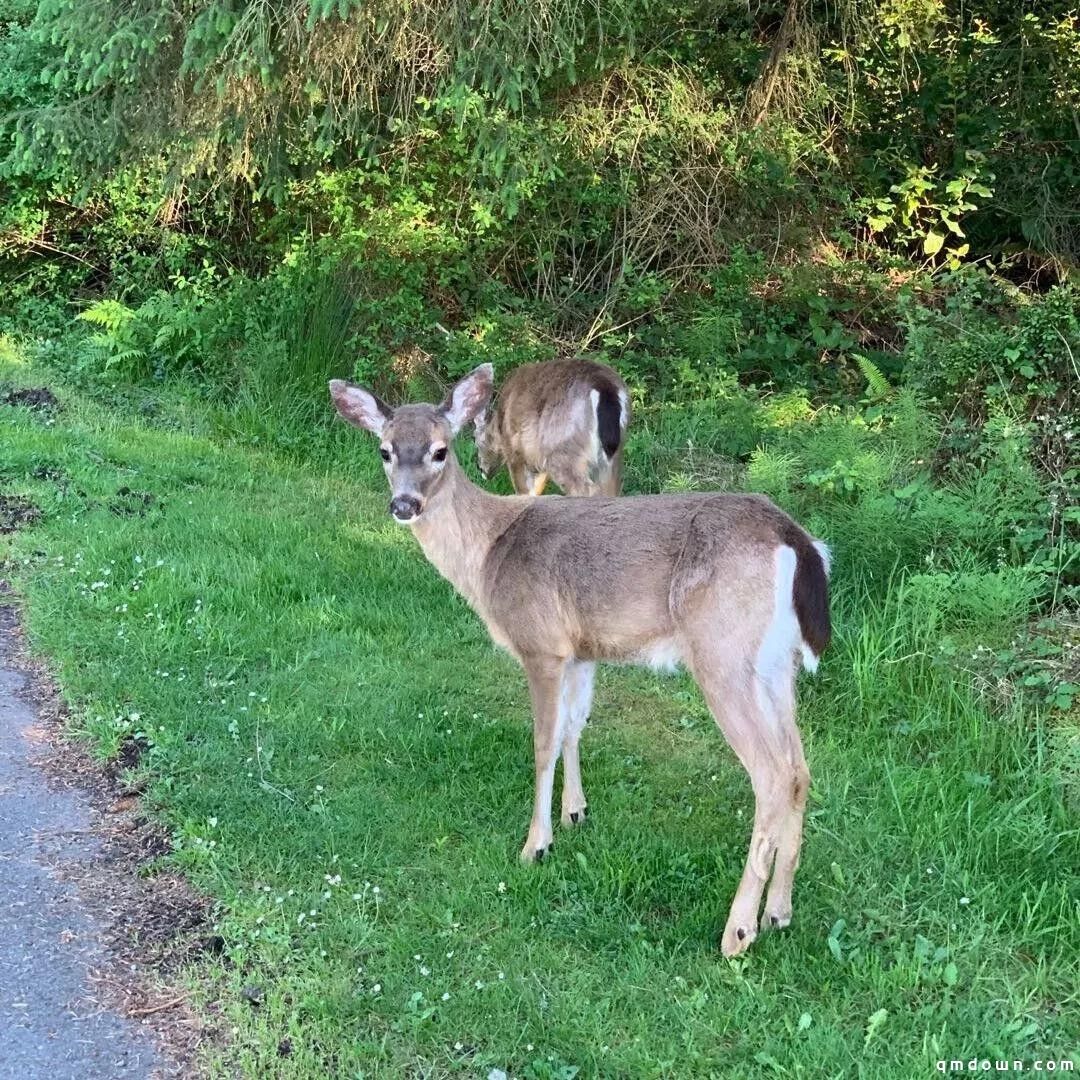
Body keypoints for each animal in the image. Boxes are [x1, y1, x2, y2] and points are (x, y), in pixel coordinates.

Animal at [475, 360, 630, 498]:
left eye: (475, 440)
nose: (481, 469)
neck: (498, 427)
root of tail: (604, 386)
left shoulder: (515, 452)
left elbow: (523, 491)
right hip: (613, 455)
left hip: (563, 450)